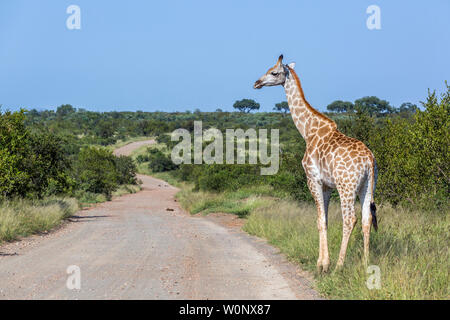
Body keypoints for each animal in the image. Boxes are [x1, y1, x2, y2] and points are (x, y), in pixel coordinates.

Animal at [253, 55, 376, 272]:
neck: (308, 130)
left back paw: (339, 266)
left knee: (349, 219)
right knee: (366, 218)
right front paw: (322, 261)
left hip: (346, 186)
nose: (256, 83)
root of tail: (368, 161)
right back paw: (365, 263)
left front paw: (324, 265)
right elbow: (324, 220)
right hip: (367, 185)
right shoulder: (326, 185)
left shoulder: (313, 180)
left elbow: (320, 220)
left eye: (274, 72)